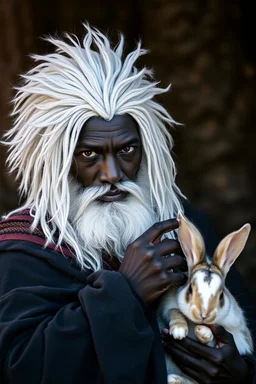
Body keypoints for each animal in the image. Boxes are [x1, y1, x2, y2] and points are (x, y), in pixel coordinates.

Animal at [158, 213, 254, 384]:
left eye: (221, 295)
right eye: (190, 289)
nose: (203, 314)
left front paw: (204, 333)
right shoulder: (168, 305)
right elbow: (175, 312)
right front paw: (179, 331)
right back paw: (174, 379)